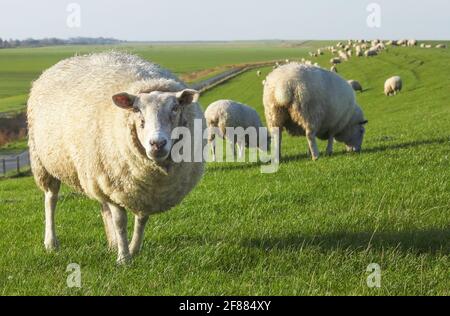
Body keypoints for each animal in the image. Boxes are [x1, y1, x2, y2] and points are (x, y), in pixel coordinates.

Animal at [26, 52, 206, 264]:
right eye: (136, 110)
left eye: (176, 108)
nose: (157, 143)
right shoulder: (114, 183)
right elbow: (120, 221)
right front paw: (124, 259)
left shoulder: (143, 189)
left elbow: (141, 220)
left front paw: (133, 248)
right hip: (44, 163)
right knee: (51, 199)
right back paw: (51, 243)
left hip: (95, 175)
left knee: (102, 206)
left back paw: (112, 242)